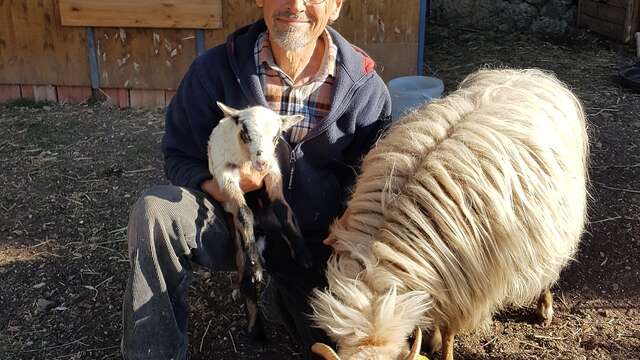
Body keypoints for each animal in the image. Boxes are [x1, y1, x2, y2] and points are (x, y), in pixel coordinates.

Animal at [208, 102, 312, 340]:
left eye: (276, 137)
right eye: (246, 133)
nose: (262, 162)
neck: (246, 159)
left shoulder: (273, 174)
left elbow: (284, 209)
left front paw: (303, 254)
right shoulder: (226, 175)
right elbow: (244, 212)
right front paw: (255, 266)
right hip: (237, 239)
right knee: (243, 273)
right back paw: (256, 332)